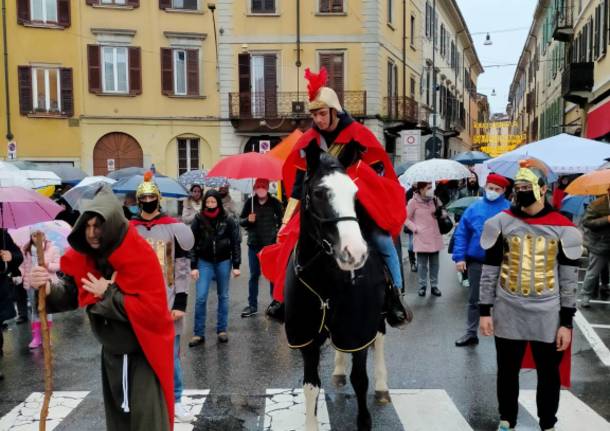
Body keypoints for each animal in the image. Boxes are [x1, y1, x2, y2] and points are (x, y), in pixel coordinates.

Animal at [284, 140, 390, 430]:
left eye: (355, 194)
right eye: (319, 192)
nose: (355, 252)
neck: (324, 282)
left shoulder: (358, 332)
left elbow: (360, 380)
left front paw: (364, 420)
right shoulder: (307, 338)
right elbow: (311, 386)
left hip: (377, 317)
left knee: (379, 340)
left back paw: (382, 385)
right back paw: (339, 370)